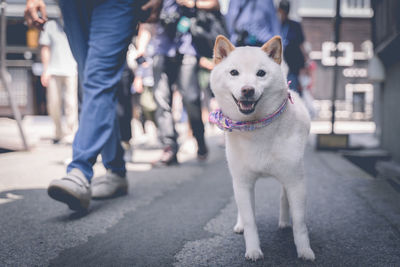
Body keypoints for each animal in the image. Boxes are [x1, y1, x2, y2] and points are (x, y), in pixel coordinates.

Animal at [209, 35, 316, 262]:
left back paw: (284, 221)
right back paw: (240, 224)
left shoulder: (296, 181)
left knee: (284, 197)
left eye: (261, 73)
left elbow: (300, 223)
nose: (247, 89)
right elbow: (250, 220)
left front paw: (304, 250)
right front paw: (253, 250)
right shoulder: (242, 182)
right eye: (234, 72)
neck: (256, 129)